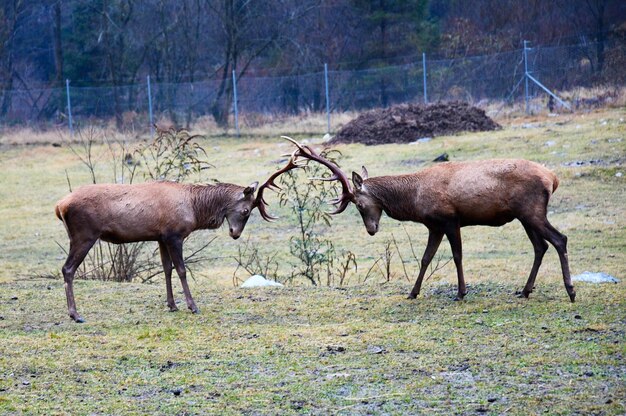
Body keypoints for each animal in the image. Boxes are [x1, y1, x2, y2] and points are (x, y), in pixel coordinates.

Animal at [54, 158, 300, 324]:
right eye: (247, 210)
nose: (235, 233)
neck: (194, 209)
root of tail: (59, 206)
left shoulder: (160, 237)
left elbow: (167, 269)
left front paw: (172, 305)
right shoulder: (175, 235)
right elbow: (181, 269)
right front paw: (192, 305)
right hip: (84, 235)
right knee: (67, 268)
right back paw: (75, 314)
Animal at [282, 136, 576, 302]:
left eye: (359, 204)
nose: (371, 230)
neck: (415, 199)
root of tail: (553, 178)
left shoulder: (449, 219)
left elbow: (456, 255)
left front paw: (460, 293)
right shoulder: (434, 226)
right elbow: (426, 258)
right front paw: (413, 292)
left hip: (532, 211)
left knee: (559, 239)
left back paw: (570, 291)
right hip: (524, 216)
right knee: (541, 246)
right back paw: (525, 290)